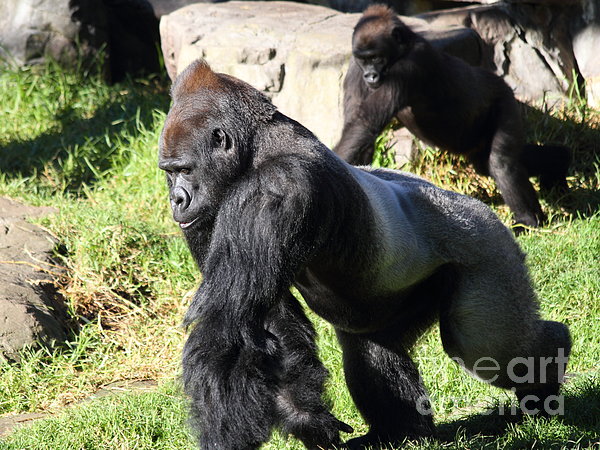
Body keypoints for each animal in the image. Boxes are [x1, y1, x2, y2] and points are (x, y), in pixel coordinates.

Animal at [159, 60, 572, 450]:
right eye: (169, 172)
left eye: (184, 169)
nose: (176, 200)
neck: (255, 148)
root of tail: (486, 212)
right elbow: (268, 320)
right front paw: (305, 417)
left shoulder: (274, 189)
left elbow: (231, 325)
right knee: (375, 344)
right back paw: (401, 432)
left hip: (488, 250)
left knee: (483, 346)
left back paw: (548, 371)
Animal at [336, 6, 568, 230]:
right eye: (364, 59)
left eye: (376, 58)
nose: (370, 76)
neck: (404, 46)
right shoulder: (355, 67)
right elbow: (361, 133)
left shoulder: (411, 64)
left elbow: (364, 125)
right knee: (487, 163)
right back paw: (558, 165)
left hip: (505, 99)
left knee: (501, 162)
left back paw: (528, 218)